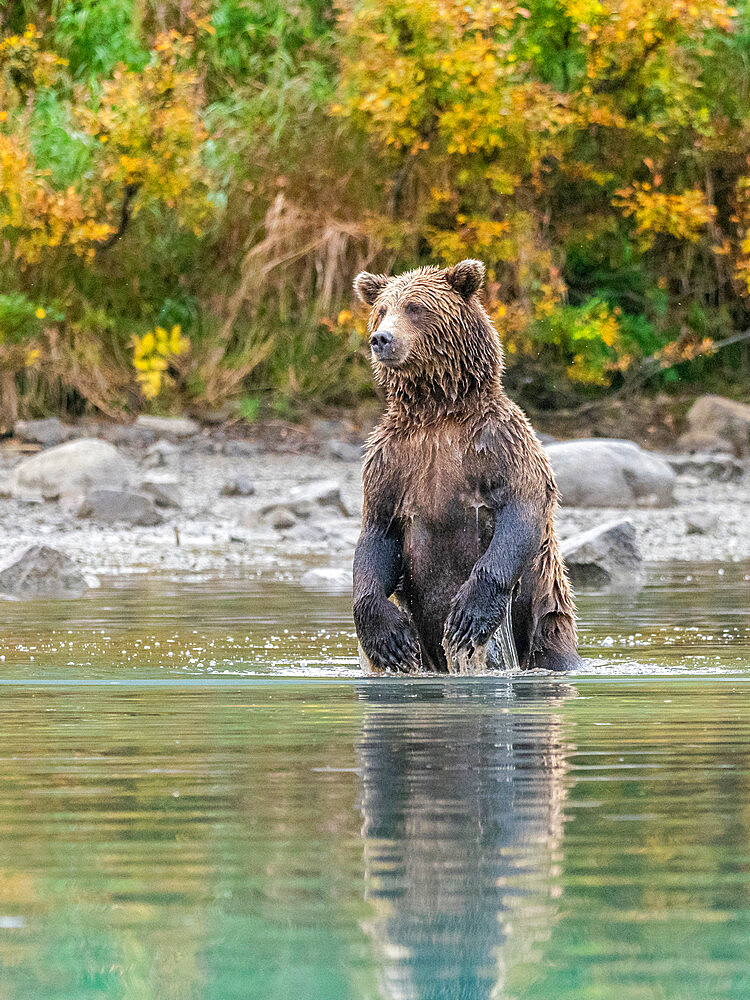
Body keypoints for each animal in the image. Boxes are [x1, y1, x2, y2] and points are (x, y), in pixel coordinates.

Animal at [352, 258, 580, 672]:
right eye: (381, 310)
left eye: (415, 307)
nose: (381, 339)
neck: (437, 411)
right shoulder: (389, 460)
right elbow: (377, 531)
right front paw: (388, 637)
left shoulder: (499, 442)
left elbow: (521, 509)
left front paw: (468, 616)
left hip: (546, 613)